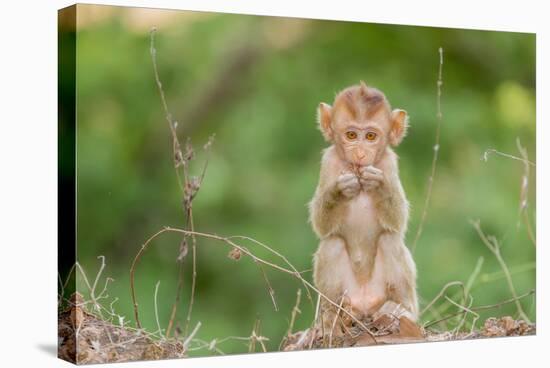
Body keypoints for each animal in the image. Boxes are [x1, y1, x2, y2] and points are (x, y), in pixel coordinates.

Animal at [310, 82, 418, 334]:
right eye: (351, 135)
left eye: (370, 136)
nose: (360, 153)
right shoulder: (329, 161)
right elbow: (321, 225)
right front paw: (339, 191)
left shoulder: (389, 163)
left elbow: (398, 221)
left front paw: (379, 186)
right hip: (349, 299)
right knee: (332, 243)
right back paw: (331, 319)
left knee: (390, 239)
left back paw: (402, 310)